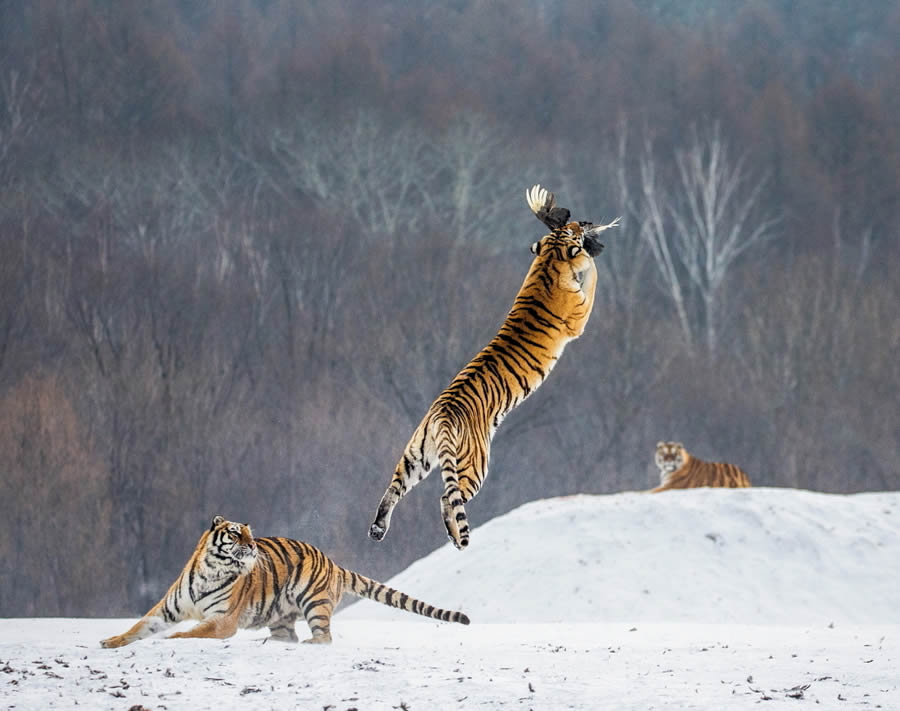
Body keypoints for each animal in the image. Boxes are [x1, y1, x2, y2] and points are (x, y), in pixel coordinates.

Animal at [100, 516, 472, 648]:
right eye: (236, 533)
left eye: (250, 533)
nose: (252, 546)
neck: (212, 569)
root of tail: (334, 563)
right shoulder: (166, 609)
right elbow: (138, 627)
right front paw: (110, 641)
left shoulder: (222, 620)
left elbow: (196, 631)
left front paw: (174, 638)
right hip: (278, 615)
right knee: (286, 635)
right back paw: (271, 642)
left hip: (314, 604)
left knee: (324, 637)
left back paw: (310, 643)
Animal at [368, 185, 620, 552]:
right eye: (573, 228)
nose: (582, 224)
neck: (548, 261)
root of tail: (441, 415)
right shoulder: (580, 317)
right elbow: (593, 280)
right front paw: (590, 259)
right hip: (474, 466)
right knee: (447, 498)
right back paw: (457, 538)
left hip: (415, 457)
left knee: (392, 489)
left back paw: (377, 529)